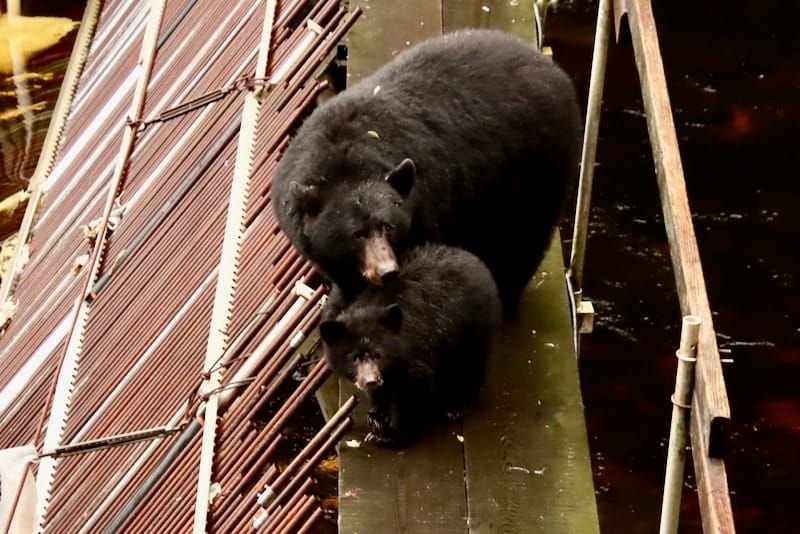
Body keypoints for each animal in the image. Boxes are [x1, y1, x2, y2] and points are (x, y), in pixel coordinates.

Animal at [272, 28, 581, 310]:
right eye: (356, 234)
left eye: (389, 226)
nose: (387, 271)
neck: (345, 160)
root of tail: (557, 72)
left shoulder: (427, 202)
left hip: (537, 164)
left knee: (523, 235)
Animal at [319, 243, 502, 446]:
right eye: (354, 357)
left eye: (379, 355)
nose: (371, 381)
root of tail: (475, 261)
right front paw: (377, 416)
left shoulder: (417, 346)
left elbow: (413, 388)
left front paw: (390, 435)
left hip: (471, 325)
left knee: (469, 363)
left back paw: (457, 405)